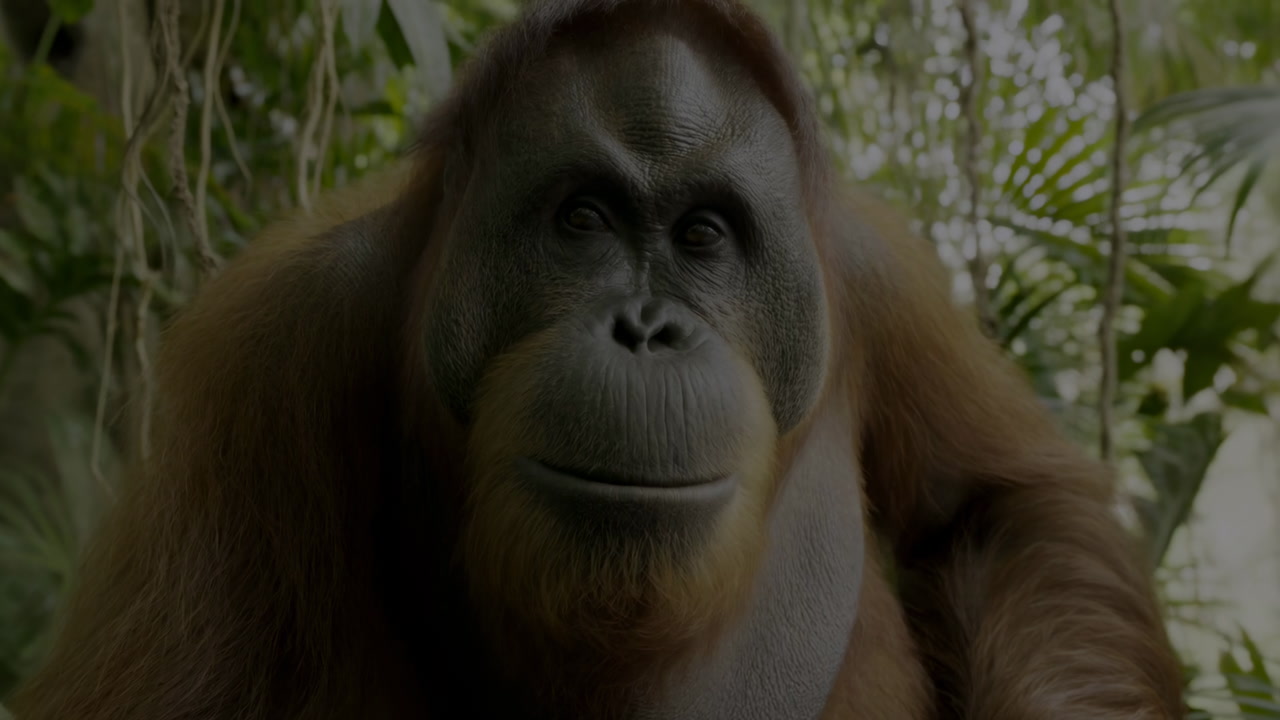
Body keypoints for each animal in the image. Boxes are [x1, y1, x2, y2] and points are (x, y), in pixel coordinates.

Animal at [9, 1, 1185, 718]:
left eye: (703, 234)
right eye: (583, 218)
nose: (646, 327)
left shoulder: (871, 272)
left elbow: (1001, 503)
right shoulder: (268, 337)